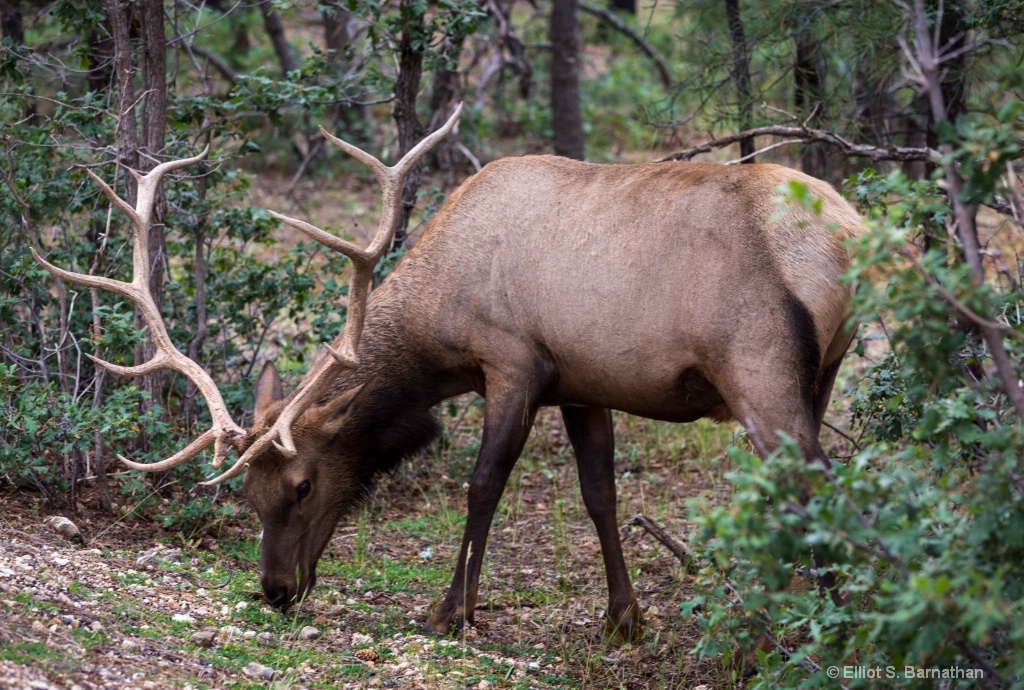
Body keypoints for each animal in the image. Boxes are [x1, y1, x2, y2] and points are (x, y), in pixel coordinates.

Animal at [34, 104, 864, 642]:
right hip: (823, 371)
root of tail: (851, 238)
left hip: (759, 371)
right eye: (248, 491)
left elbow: (482, 483)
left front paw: (451, 612)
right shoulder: (582, 385)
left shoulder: (513, 361)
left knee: (822, 485)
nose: (274, 590)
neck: (439, 324)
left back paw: (823, 626)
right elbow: (599, 494)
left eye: (302, 485)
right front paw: (622, 619)